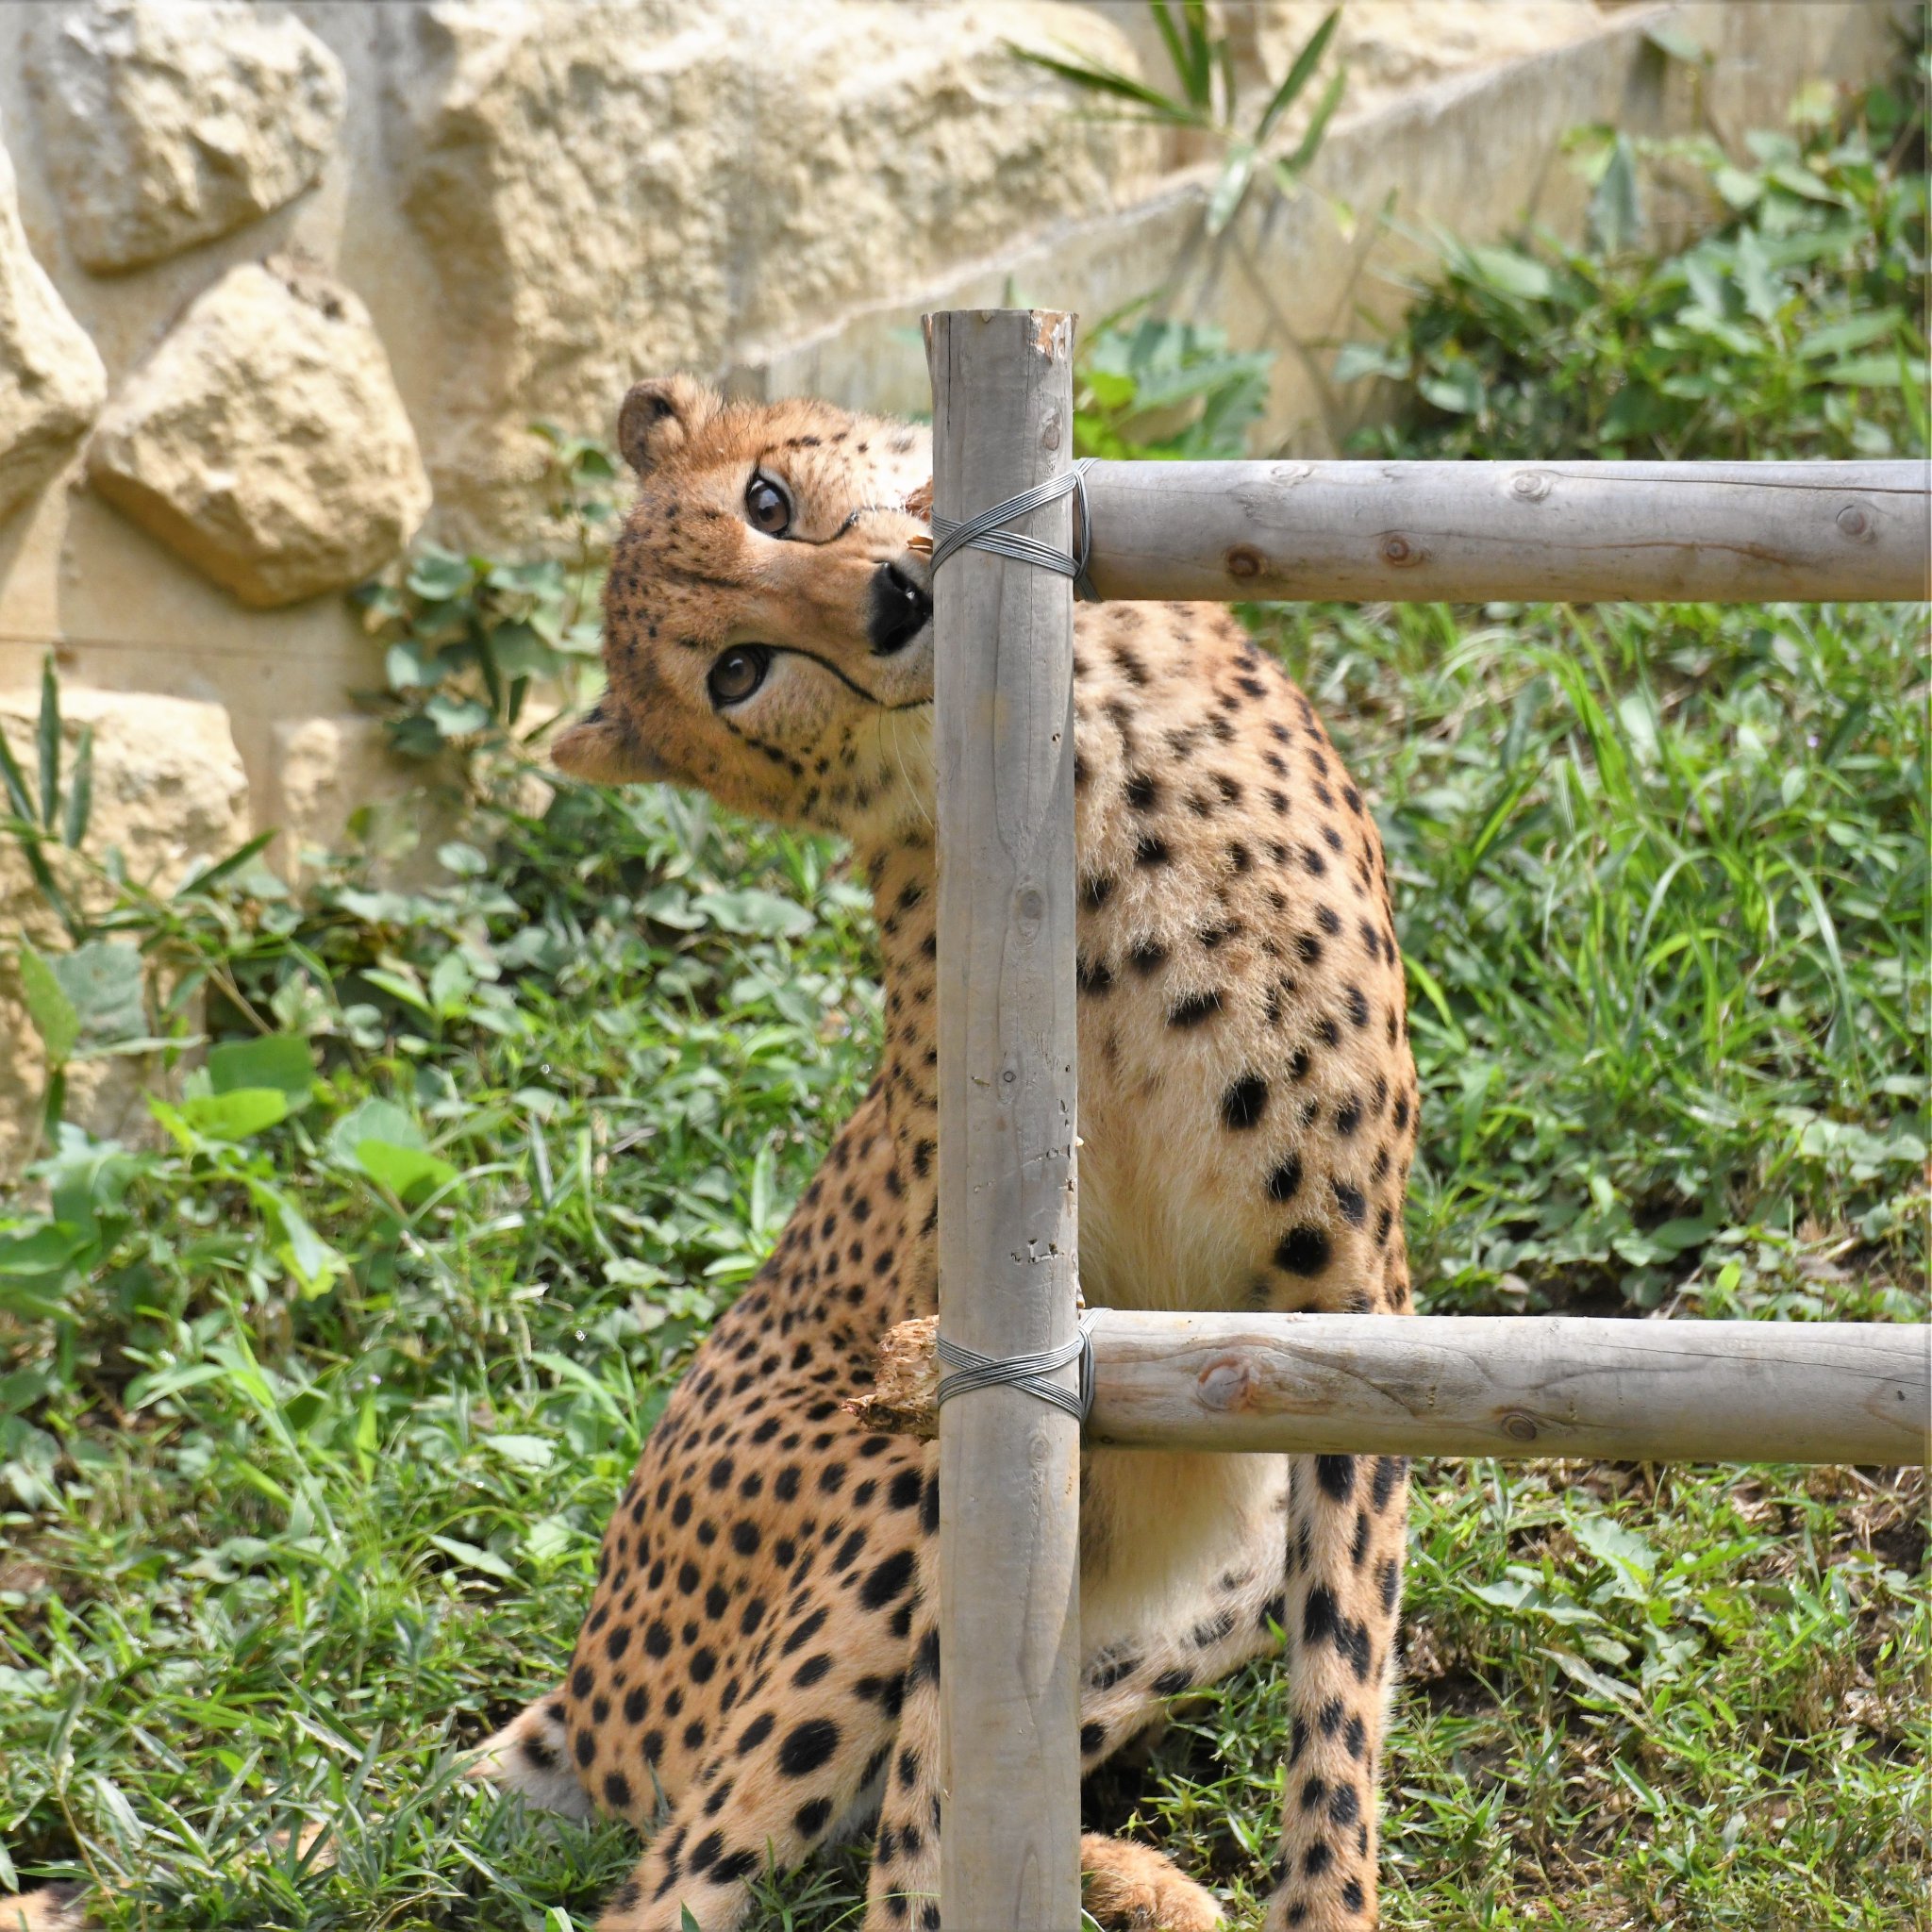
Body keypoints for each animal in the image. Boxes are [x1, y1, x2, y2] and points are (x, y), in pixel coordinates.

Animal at [483, 376, 1422, 1932]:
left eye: (767, 500)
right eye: (738, 672)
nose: (891, 599)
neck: (1083, 762)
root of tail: (584, 1681)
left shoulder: (1343, 1295)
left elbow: (1340, 1702)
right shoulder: (1007, 1351)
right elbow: (930, 1824)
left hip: (1225, 1552)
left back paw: (1137, 1881)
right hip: (893, 1484)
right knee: (710, 1871)